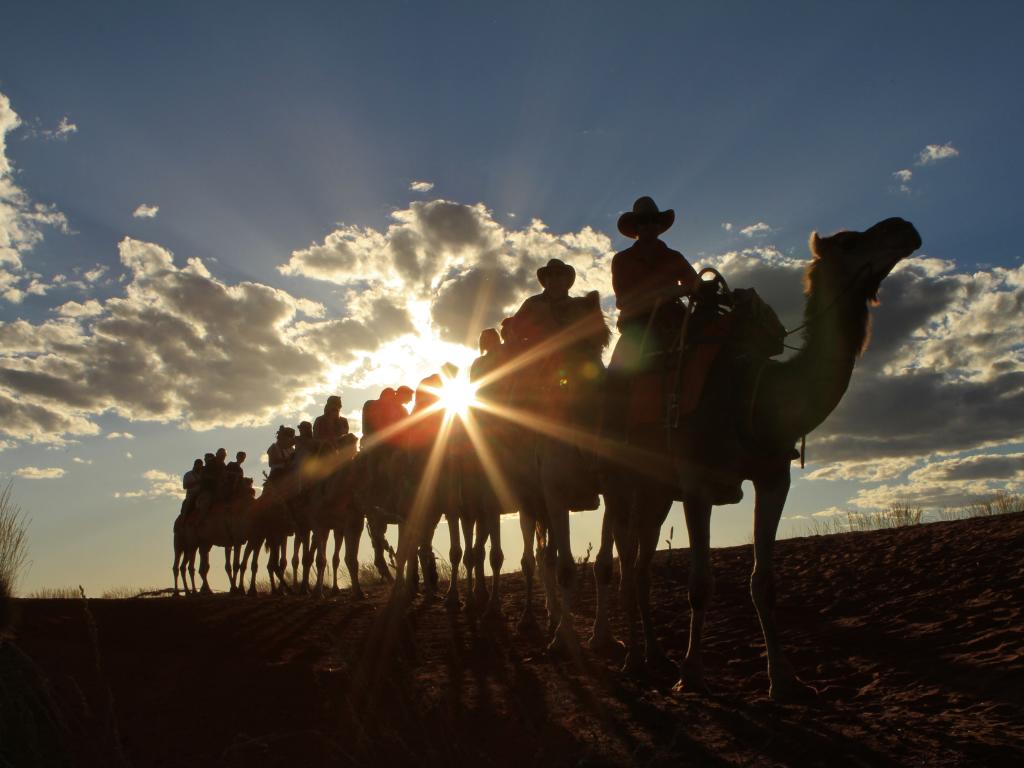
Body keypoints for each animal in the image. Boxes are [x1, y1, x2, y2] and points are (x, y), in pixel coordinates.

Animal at [589, 218, 925, 704]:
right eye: (849, 241)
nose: (904, 227)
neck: (755, 393)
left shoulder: (773, 478)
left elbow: (763, 583)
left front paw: (783, 680)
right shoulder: (697, 482)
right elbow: (700, 585)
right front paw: (692, 675)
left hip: (656, 491)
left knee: (639, 568)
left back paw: (654, 655)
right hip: (620, 479)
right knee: (619, 561)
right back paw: (631, 656)